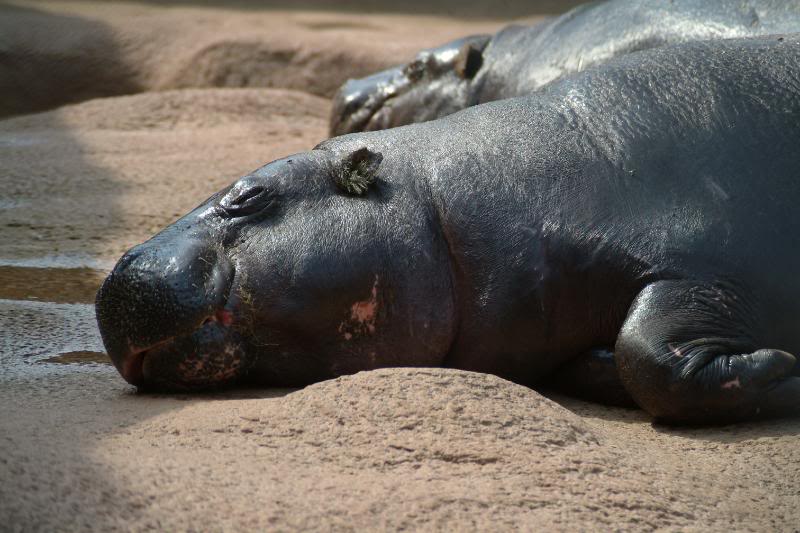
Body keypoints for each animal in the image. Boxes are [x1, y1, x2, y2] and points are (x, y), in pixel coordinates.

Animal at [98, 35, 800, 422]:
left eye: (250, 197)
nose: (119, 268)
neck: (440, 198)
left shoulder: (704, 262)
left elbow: (646, 351)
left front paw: (784, 368)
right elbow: (632, 356)